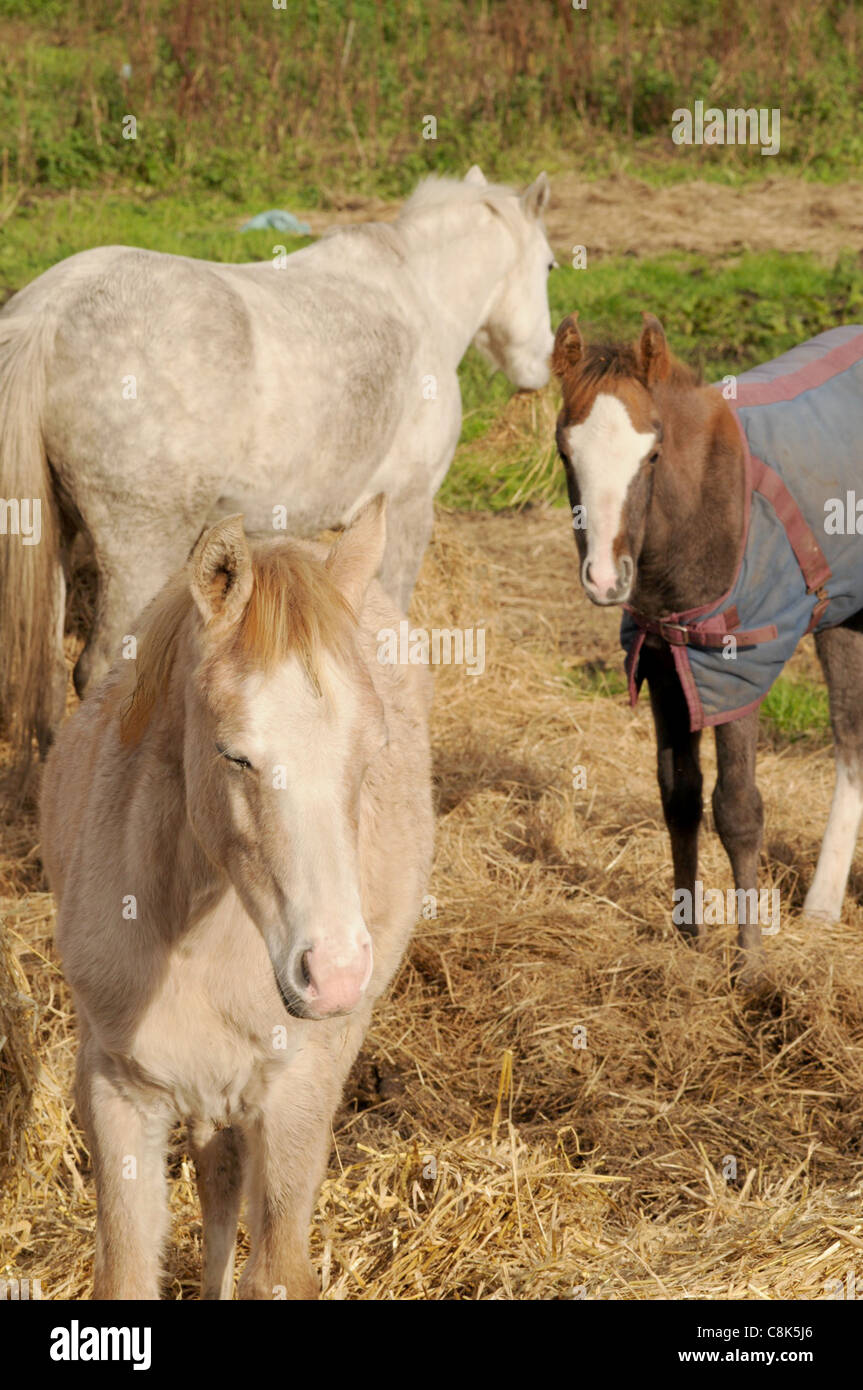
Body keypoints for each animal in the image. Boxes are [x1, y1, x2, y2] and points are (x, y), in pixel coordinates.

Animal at [0, 170, 553, 772]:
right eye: (551, 265)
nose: (543, 365)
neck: (415, 295)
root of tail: (52, 311)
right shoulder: (409, 510)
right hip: (138, 551)